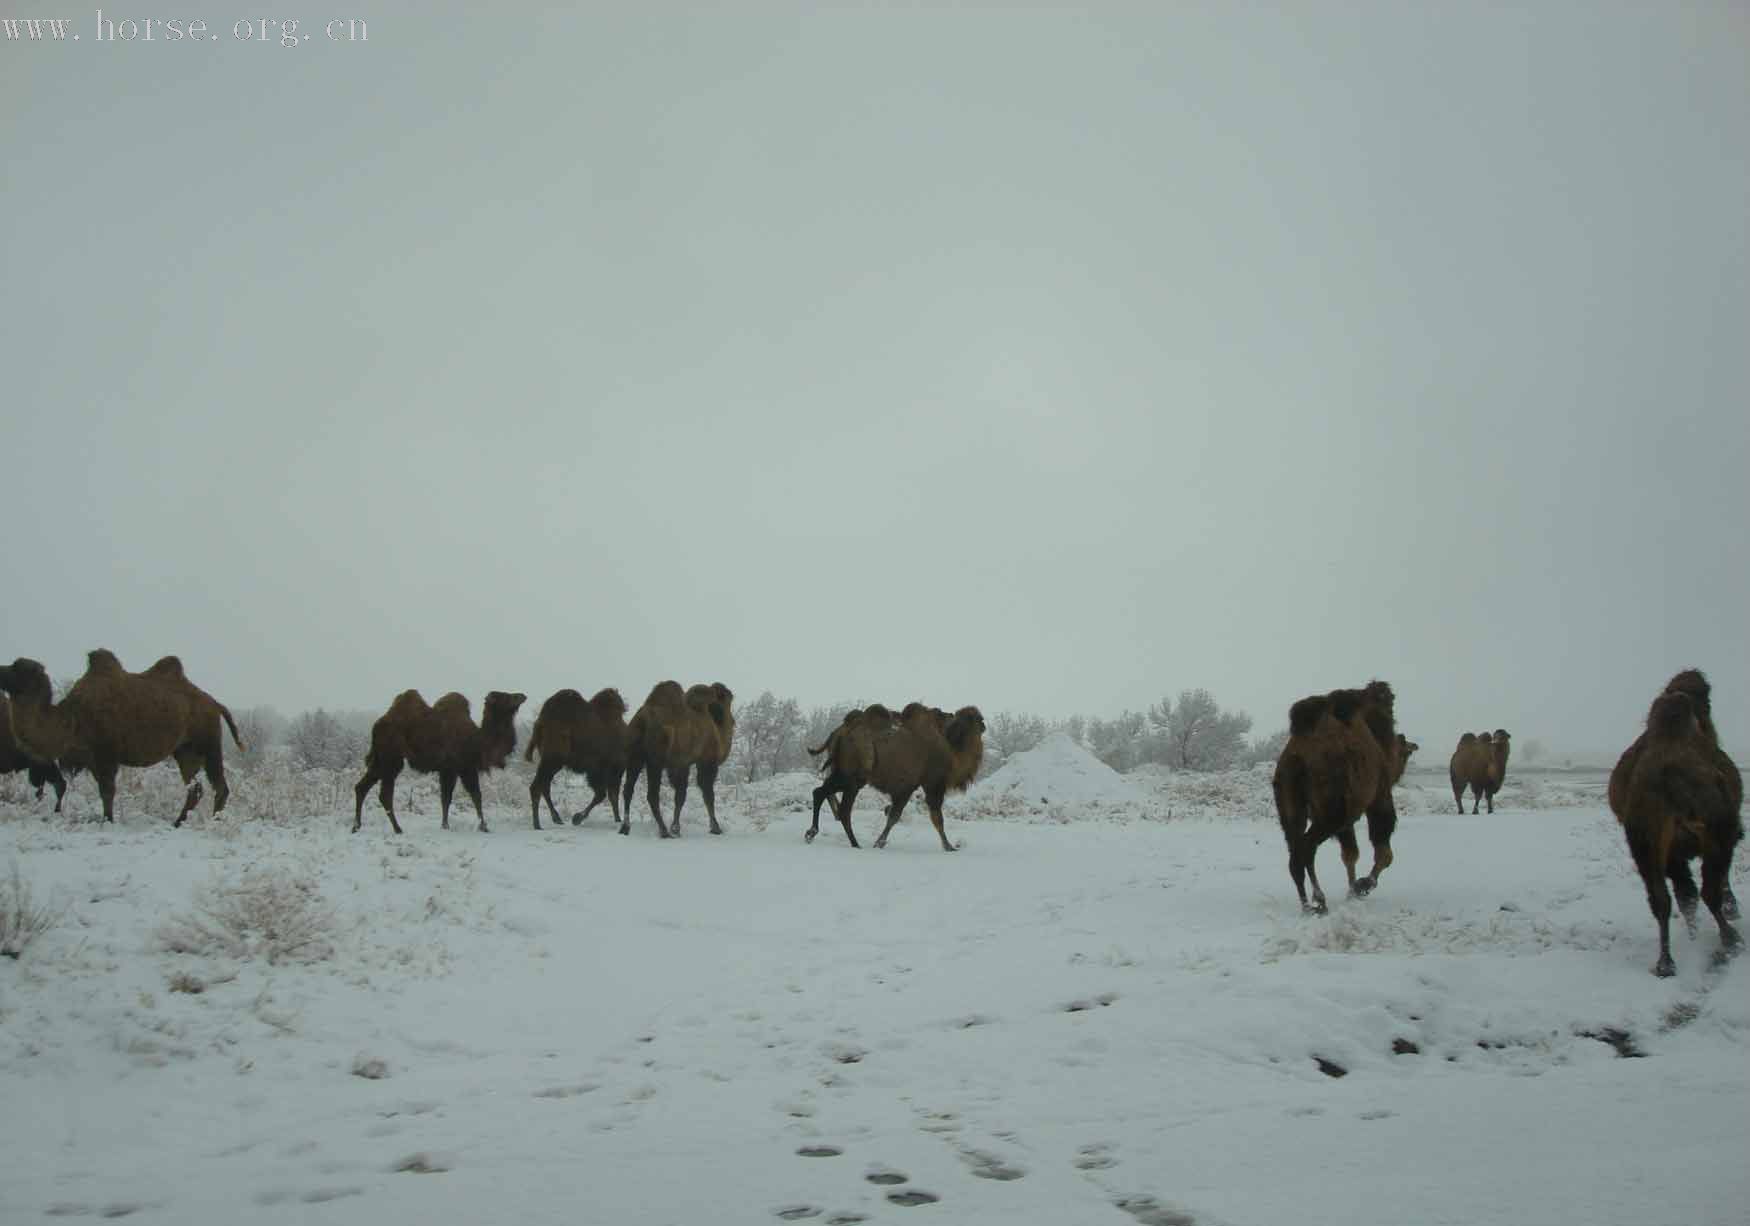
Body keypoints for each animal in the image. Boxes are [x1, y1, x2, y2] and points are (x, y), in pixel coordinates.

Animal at [0, 650, 241, 821]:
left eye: (17, 667)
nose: (0, 670)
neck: (71, 719)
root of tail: (215, 704)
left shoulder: (106, 754)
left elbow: (107, 791)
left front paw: (107, 821)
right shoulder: (90, 760)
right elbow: (102, 790)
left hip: (208, 744)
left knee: (219, 787)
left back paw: (215, 821)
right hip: (185, 751)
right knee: (195, 788)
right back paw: (178, 822)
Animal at [348, 689, 521, 832]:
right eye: (504, 696)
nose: (522, 696)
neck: (478, 742)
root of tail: (377, 725)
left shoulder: (450, 770)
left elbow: (446, 798)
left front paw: (445, 825)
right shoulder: (462, 768)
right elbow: (474, 796)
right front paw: (483, 826)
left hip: (381, 760)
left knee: (362, 787)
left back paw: (356, 826)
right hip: (391, 759)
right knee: (384, 794)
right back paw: (397, 829)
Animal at [619, 685, 735, 835]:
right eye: (727, 701)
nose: (732, 720)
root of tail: (642, 721)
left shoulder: (677, 765)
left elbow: (680, 795)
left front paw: (676, 828)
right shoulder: (704, 762)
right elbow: (705, 794)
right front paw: (715, 828)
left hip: (634, 757)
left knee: (628, 789)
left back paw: (625, 827)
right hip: (654, 762)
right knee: (652, 795)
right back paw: (663, 831)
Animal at [1267, 685, 1400, 916]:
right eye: (1389, 707)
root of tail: (1297, 759)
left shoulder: (1347, 817)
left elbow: (1350, 854)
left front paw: (1352, 891)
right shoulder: (1380, 796)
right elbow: (1384, 853)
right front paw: (1362, 886)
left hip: (1291, 807)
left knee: (1295, 851)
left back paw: (1307, 905)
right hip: (1330, 812)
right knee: (1307, 847)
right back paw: (1319, 900)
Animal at [1603, 678, 1743, 972]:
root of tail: (1672, 782)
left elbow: (1683, 895)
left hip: (1647, 844)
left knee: (1663, 899)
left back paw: (1666, 963)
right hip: (1715, 836)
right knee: (1708, 889)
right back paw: (1731, 940)